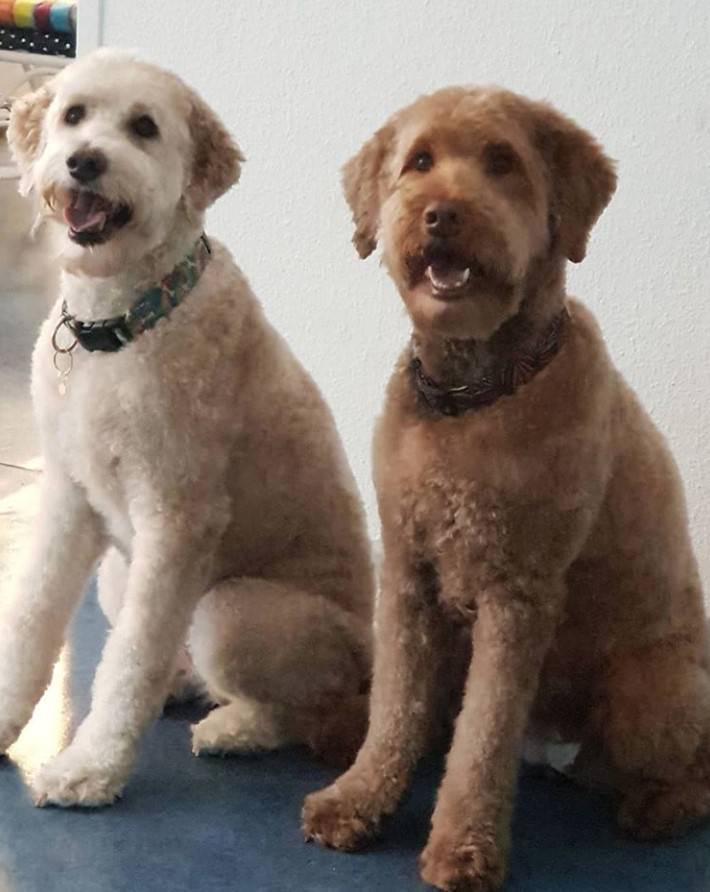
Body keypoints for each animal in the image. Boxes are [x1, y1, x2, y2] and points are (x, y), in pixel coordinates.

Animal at [0, 50, 376, 808]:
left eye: (144, 127)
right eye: (73, 115)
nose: (84, 161)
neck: (126, 320)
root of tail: (371, 655)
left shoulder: (178, 518)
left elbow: (128, 661)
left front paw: (91, 768)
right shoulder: (69, 498)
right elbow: (31, 616)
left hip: (230, 611)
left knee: (299, 709)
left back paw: (236, 727)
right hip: (119, 572)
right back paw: (181, 686)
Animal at [302, 89, 710, 892]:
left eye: (502, 162)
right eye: (419, 161)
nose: (441, 214)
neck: (474, 396)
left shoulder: (516, 596)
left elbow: (483, 738)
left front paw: (463, 847)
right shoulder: (409, 577)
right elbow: (397, 706)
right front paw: (358, 798)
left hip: (647, 694)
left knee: (696, 769)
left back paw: (658, 807)